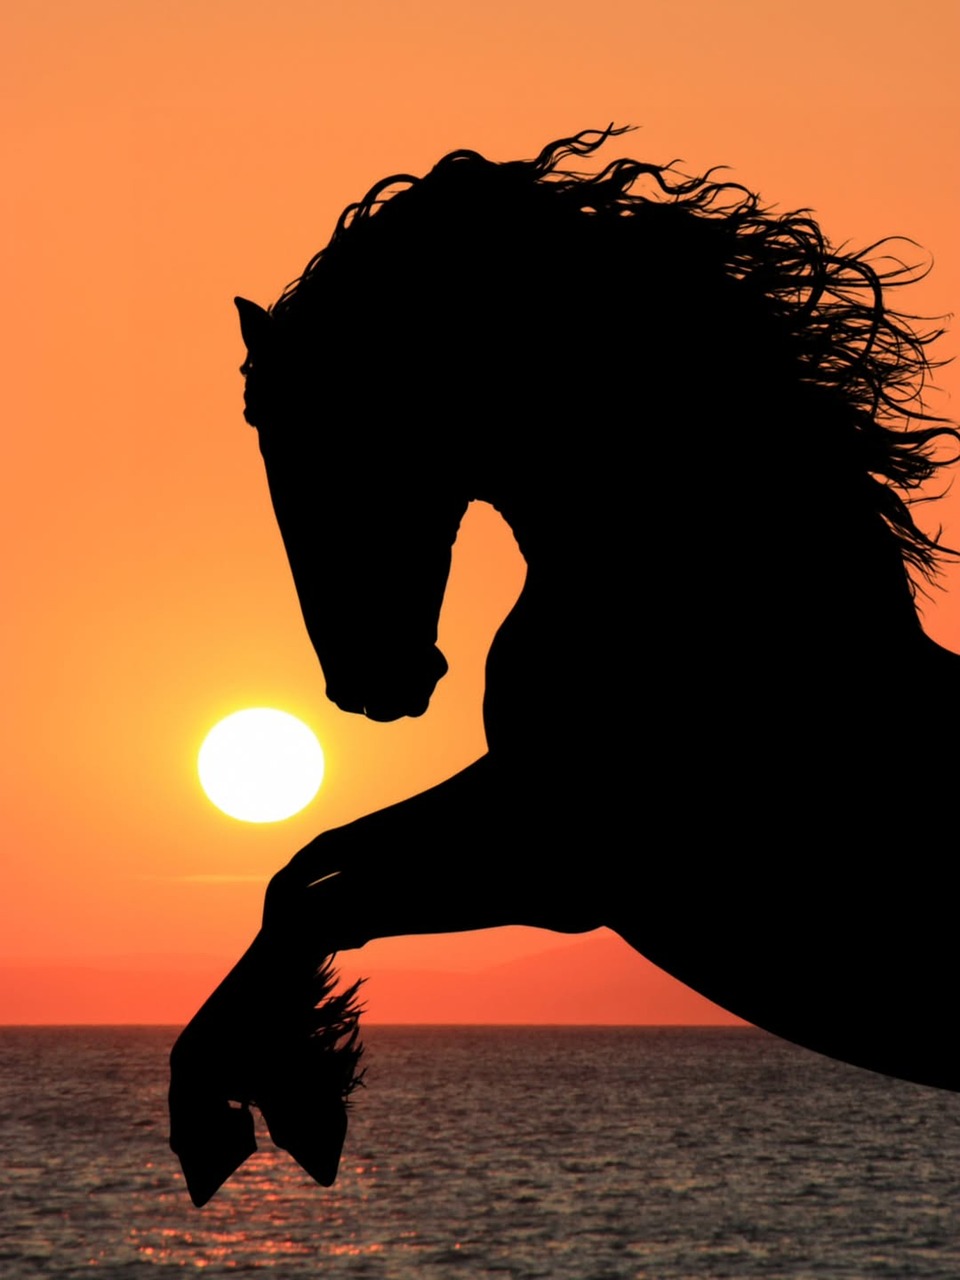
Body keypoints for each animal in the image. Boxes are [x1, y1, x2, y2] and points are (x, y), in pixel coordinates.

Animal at [170, 127, 960, 1206]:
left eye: (309, 440)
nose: (370, 682)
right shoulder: (519, 801)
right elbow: (300, 871)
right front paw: (270, 1094)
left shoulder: (558, 863)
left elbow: (322, 895)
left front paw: (253, 1102)